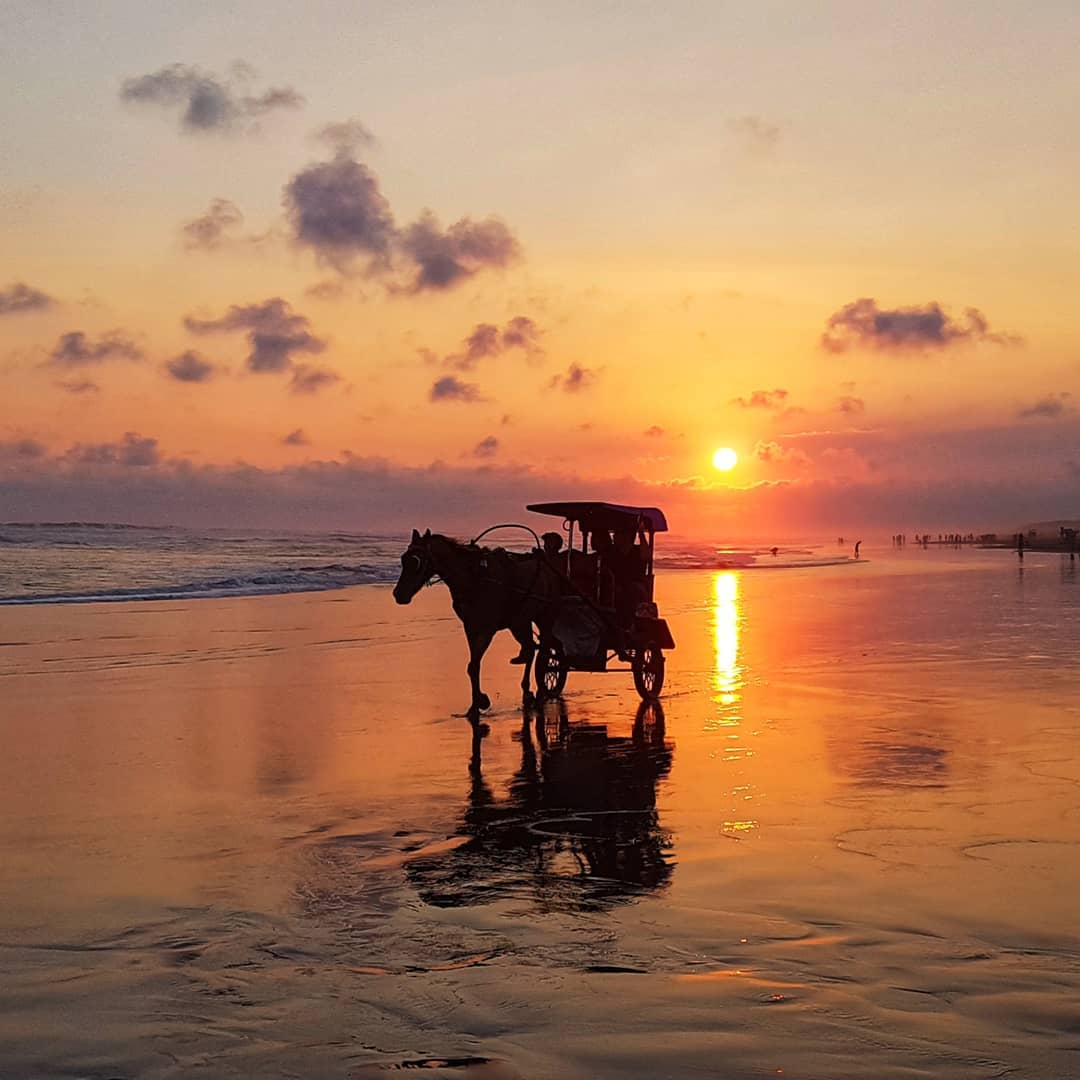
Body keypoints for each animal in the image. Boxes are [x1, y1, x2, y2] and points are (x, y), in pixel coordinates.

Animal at [397, 524, 565, 712]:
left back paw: (540, 692)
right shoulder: (470, 627)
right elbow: (473, 666)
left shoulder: (487, 629)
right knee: (531, 649)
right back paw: (527, 691)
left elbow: (474, 663)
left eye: (415, 561)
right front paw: (476, 703)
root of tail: (549, 570)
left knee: (543, 651)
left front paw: (480, 701)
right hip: (521, 621)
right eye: (403, 559)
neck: (474, 578)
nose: (398, 594)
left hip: (544, 617)